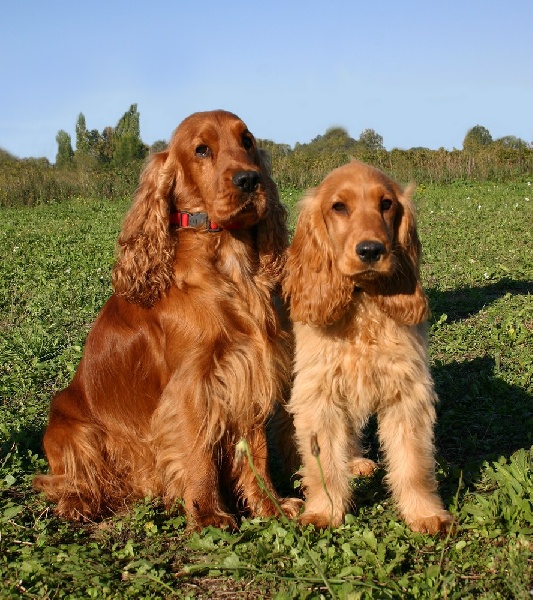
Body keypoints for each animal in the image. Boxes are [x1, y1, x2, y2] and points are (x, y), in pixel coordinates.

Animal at [284, 159, 450, 536]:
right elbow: (323, 465)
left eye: (386, 204)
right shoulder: (320, 393)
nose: (371, 250)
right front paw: (324, 511)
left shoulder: (407, 392)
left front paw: (424, 514)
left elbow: (413, 462)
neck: (362, 304)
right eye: (338, 206)